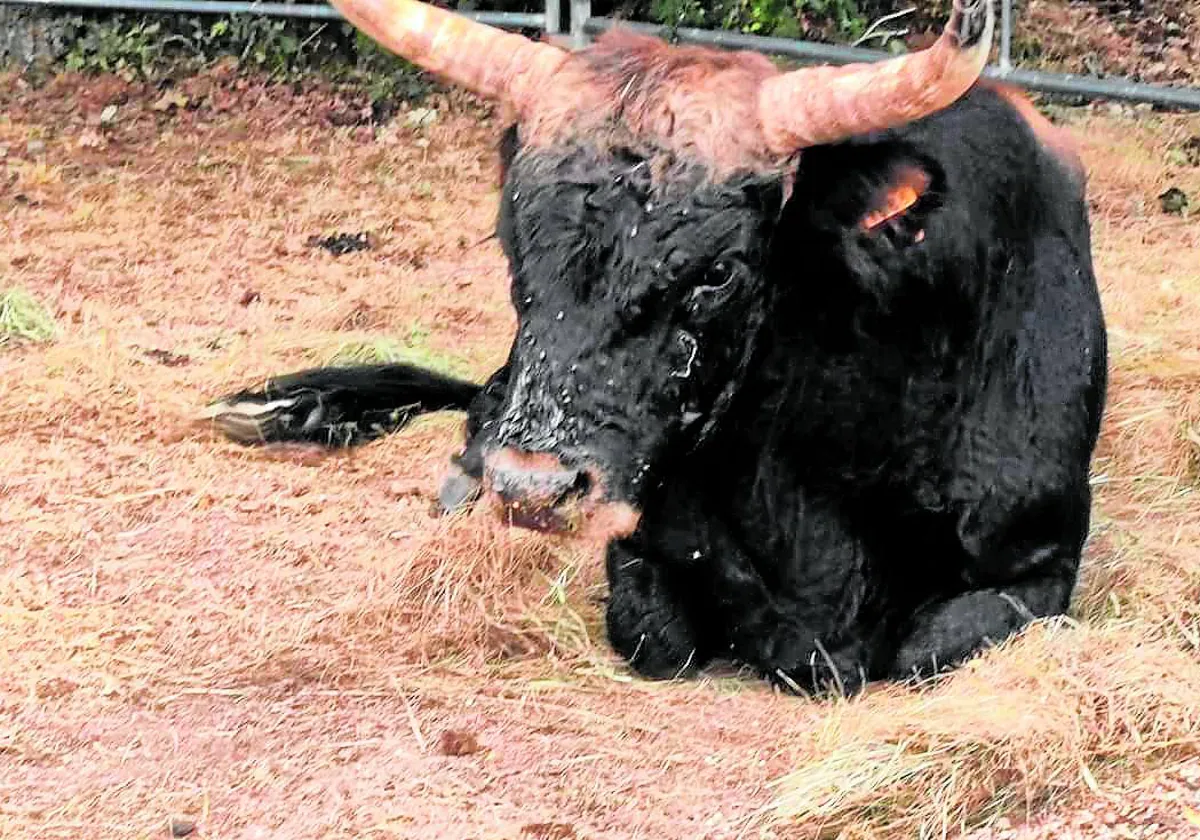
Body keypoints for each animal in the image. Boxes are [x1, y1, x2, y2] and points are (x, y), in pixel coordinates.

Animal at [204, 82, 1104, 691]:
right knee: (483, 398)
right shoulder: (635, 534)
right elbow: (653, 637)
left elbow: (923, 651)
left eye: (719, 271)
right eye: (511, 243)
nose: (534, 487)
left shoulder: (1039, 565)